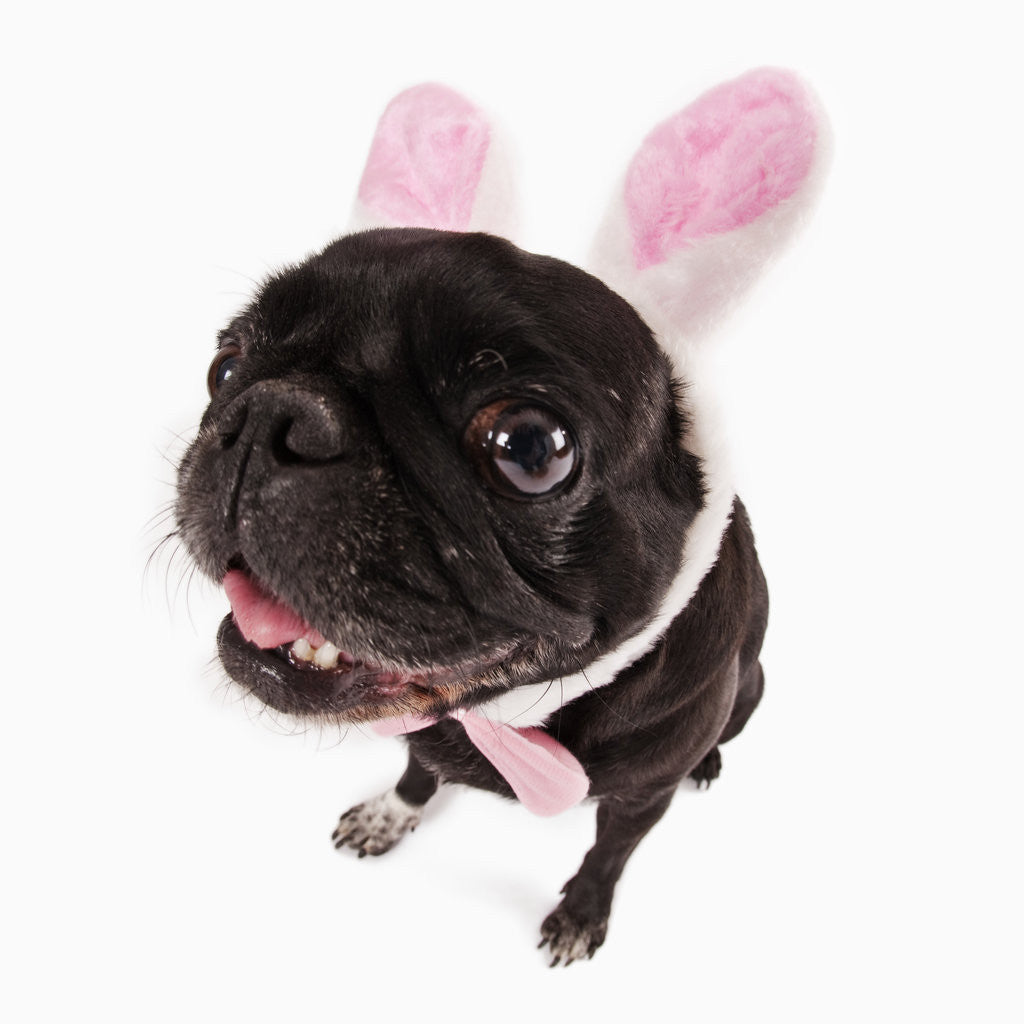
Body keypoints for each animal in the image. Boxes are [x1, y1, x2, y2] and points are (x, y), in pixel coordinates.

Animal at [174, 74, 823, 966]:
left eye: (530, 448)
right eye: (226, 366)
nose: (270, 414)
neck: (503, 722)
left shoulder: (639, 801)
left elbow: (608, 854)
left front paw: (581, 912)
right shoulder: (422, 735)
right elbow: (418, 773)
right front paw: (391, 814)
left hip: (750, 688)